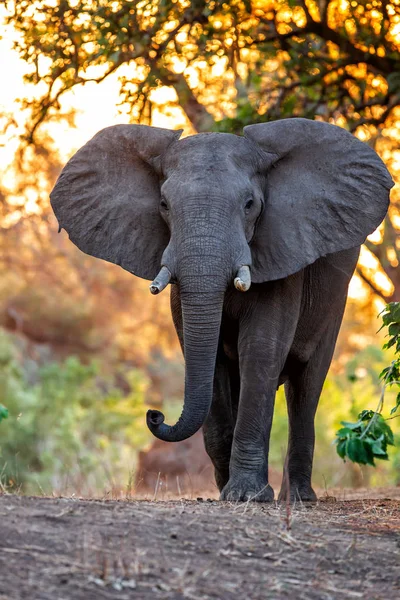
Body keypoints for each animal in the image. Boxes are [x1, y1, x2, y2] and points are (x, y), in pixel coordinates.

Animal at [50, 117, 394, 502]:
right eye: (164, 204)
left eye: (250, 204)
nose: (155, 415)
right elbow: (207, 354)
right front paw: (230, 490)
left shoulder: (282, 253)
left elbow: (260, 348)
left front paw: (247, 496)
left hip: (334, 303)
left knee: (306, 386)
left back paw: (298, 499)